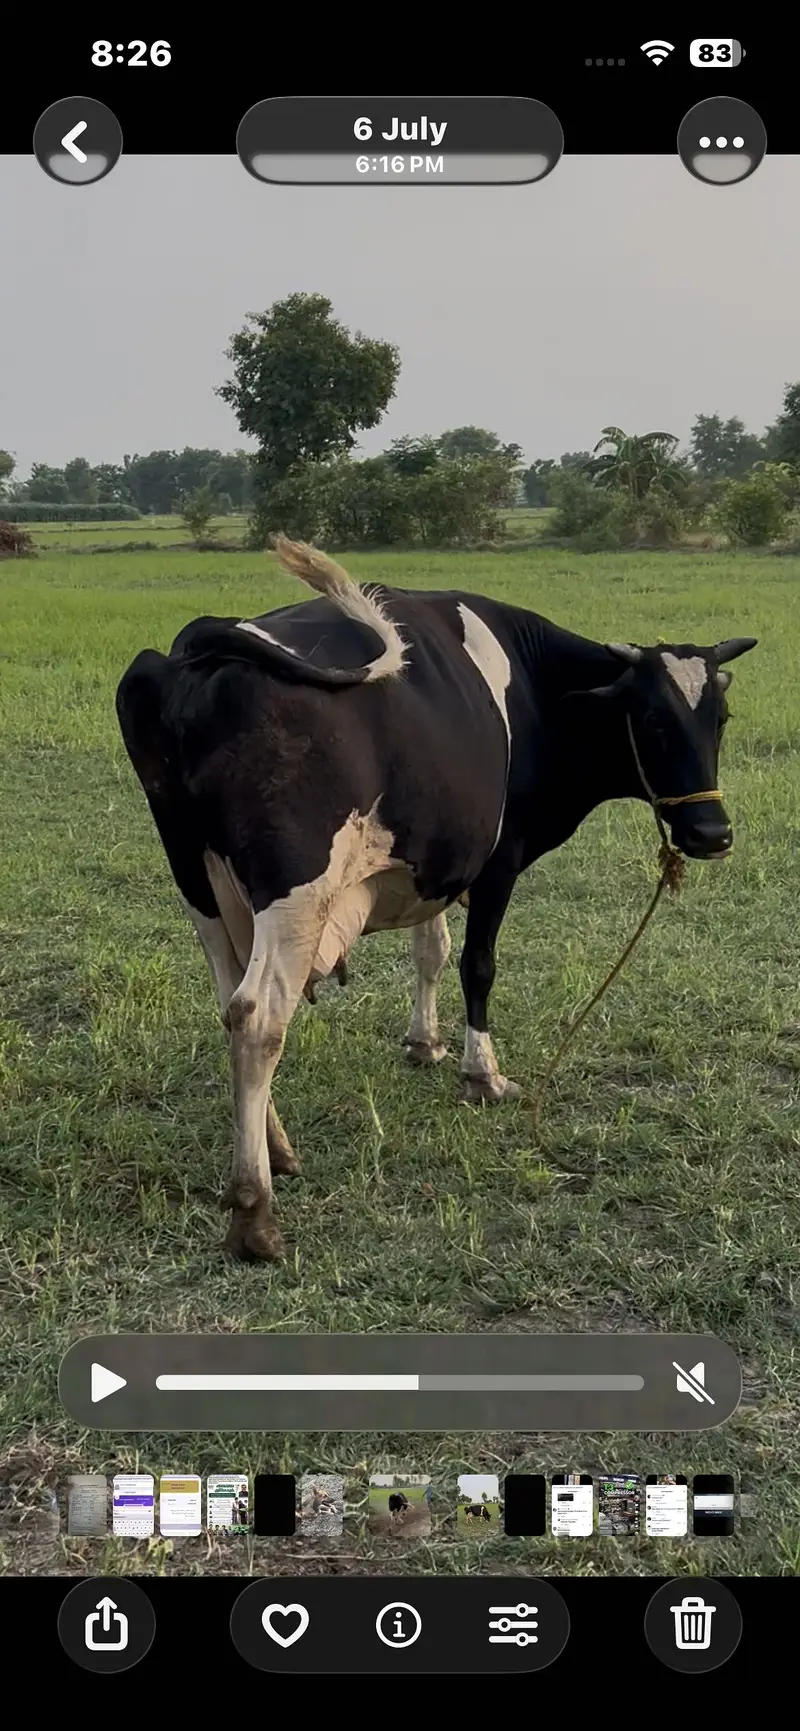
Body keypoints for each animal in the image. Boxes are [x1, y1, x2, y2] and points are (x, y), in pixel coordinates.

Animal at [116, 535, 757, 1263]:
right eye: (650, 718)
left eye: (720, 718)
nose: (712, 833)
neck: (535, 685)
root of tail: (199, 642)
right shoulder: (499, 859)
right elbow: (478, 964)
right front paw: (484, 1074)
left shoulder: (437, 861)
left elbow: (432, 951)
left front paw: (425, 1043)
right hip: (294, 894)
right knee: (258, 1019)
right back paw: (255, 1209)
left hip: (204, 888)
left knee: (231, 1007)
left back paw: (276, 1150)